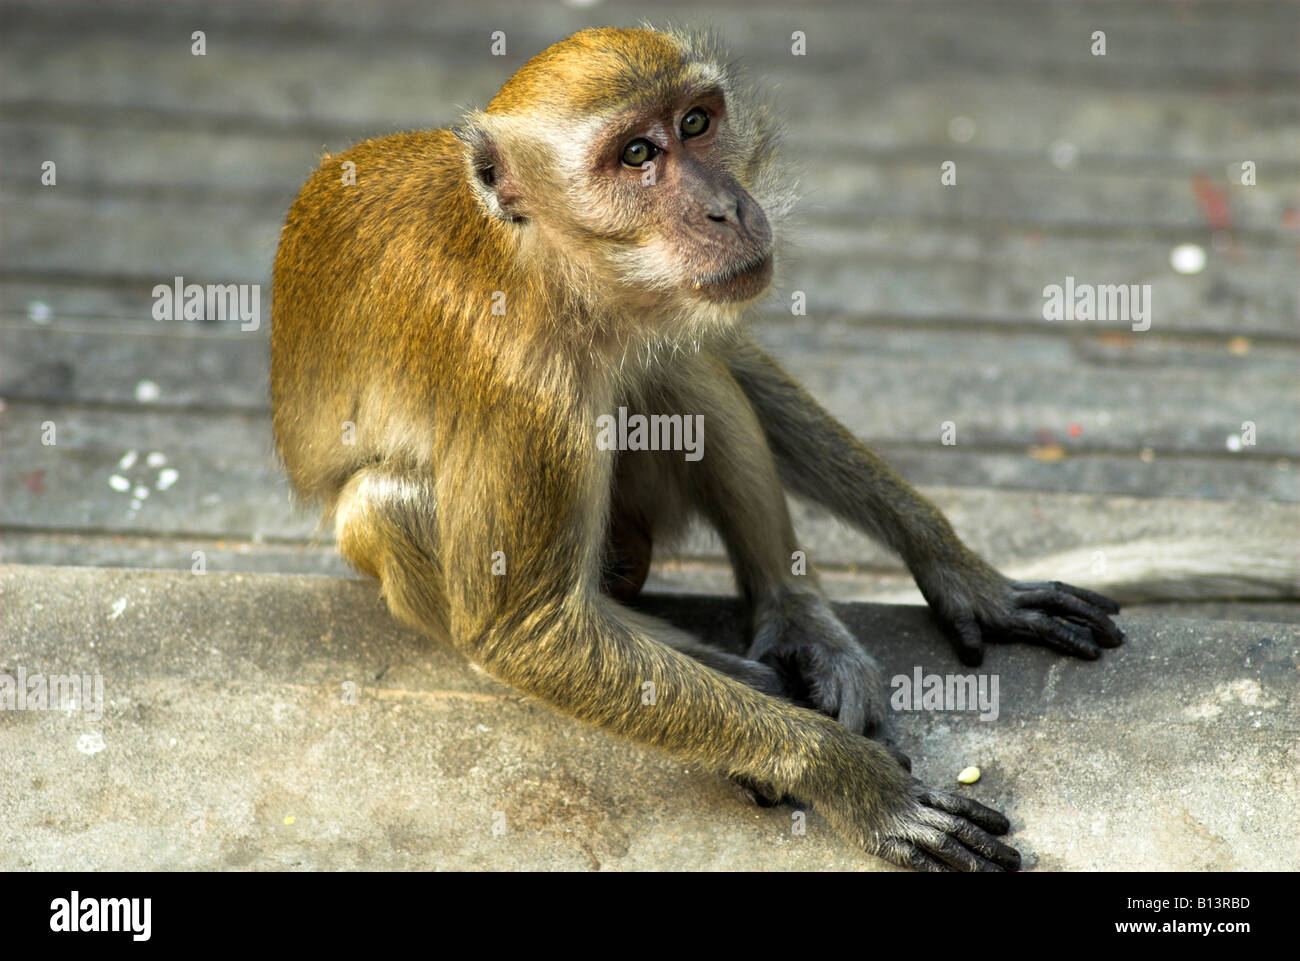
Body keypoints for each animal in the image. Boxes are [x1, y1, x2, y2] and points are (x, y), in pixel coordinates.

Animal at [269, 30, 1123, 873]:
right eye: (636, 155)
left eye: (695, 124)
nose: (725, 206)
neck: (549, 269)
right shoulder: (515, 382)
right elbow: (525, 633)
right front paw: (849, 778)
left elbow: (726, 358)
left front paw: (957, 567)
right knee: (384, 503)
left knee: (681, 371)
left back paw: (794, 617)